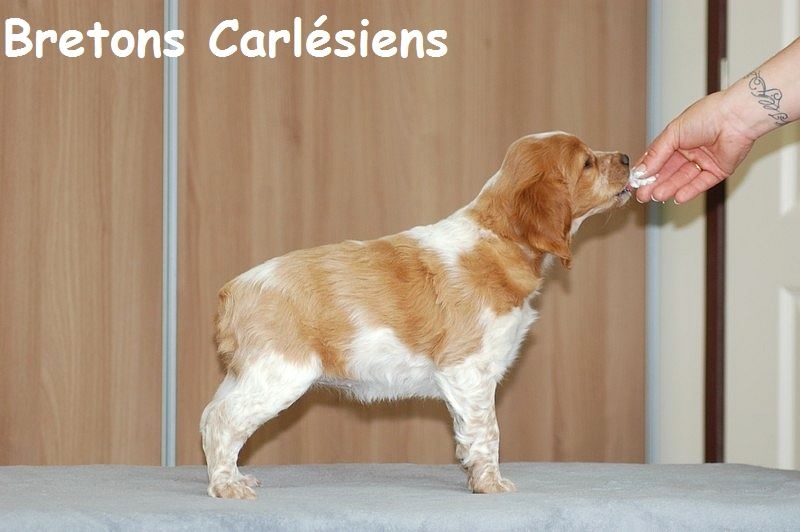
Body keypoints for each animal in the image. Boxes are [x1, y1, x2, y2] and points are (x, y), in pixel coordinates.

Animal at [200, 131, 632, 499]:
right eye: (587, 163)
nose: (628, 157)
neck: (497, 239)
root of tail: (232, 291)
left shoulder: (464, 380)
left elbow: (470, 432)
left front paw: (475, 478)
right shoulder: (468, 368)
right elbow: (488, 431)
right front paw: (492, 485)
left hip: (247, 374)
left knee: (210, 418)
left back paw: (235, 477)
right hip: (279, 374)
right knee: (223, 421)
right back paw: (227, 488)